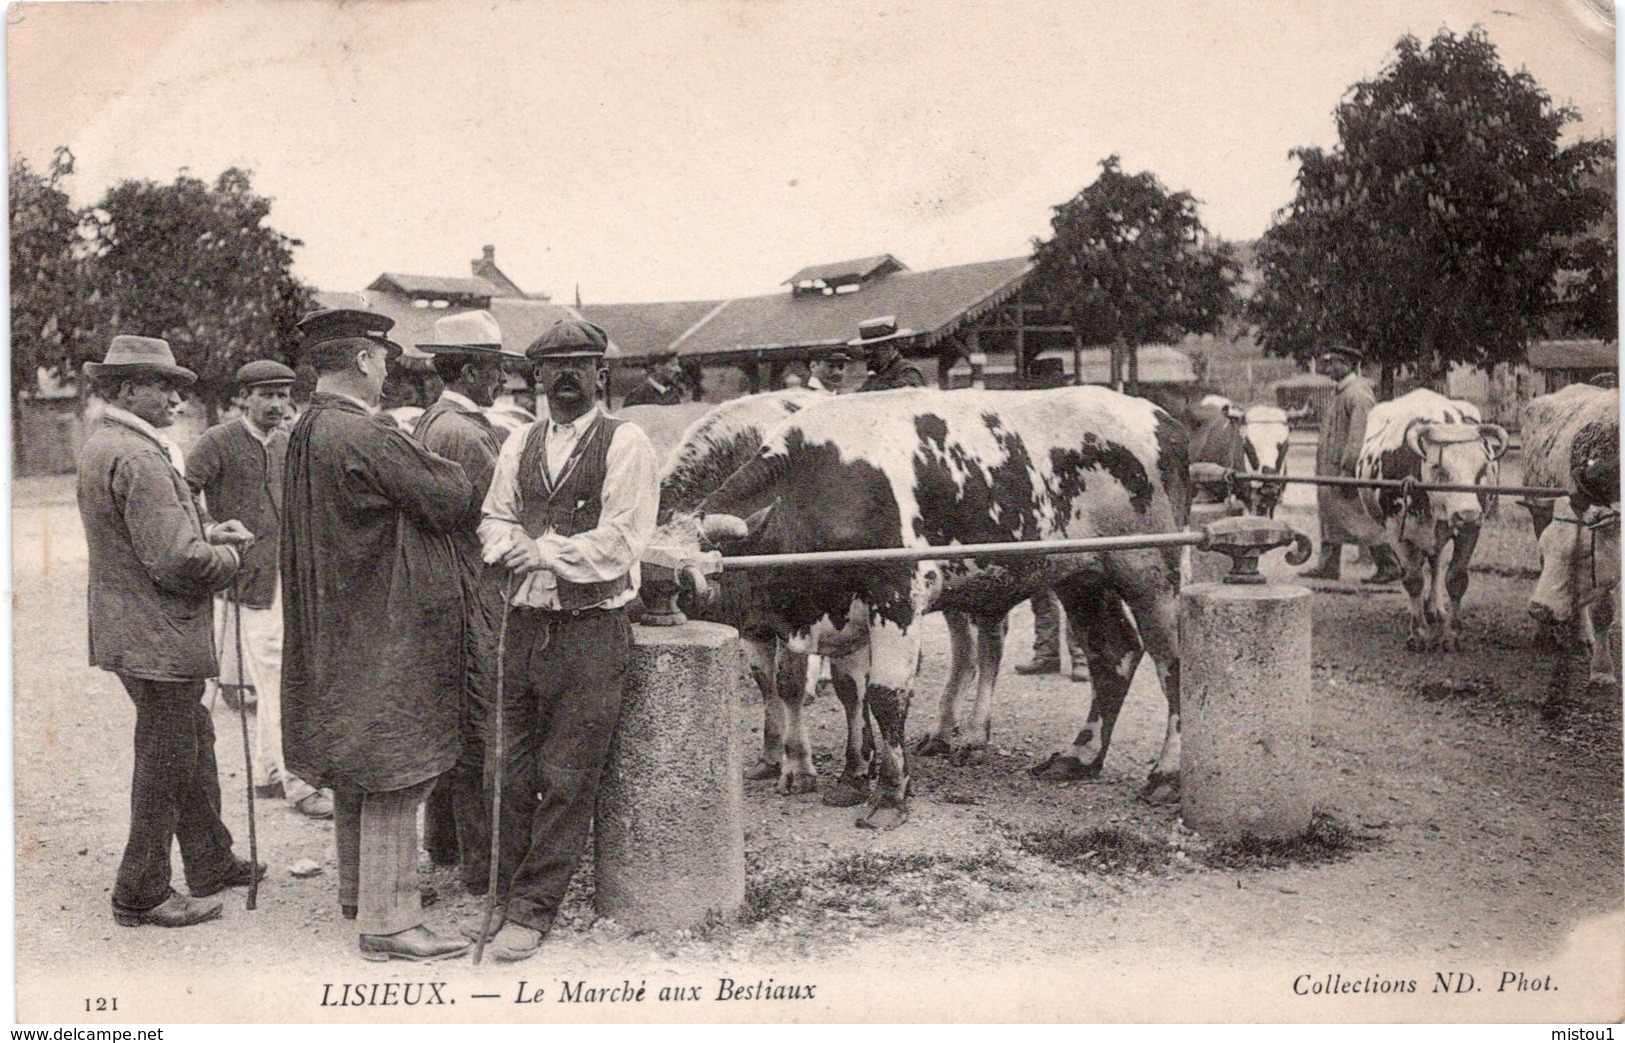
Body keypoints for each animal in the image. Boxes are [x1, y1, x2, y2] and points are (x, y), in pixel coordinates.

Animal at [666, 383, 1189, 828]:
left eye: (691, 572)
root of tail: (1159, 416)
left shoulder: (895, 600)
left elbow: (884, 696)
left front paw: (889, 795)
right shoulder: (836, 615)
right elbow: (847, 690)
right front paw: (852, 778)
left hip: (1153, 575)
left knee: (1172, 666)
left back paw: (1166, 775)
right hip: (1082, 578)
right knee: (1113, 655)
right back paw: (1078, 757)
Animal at [1352, 388, 1501, 649]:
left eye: (1483, 467)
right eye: (1438, 468)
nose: (1468, 515)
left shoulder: (1470, 531)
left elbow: (1456, 578)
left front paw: (1452, 633)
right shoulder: (1396, 530)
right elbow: (1412, 579)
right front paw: (1419, 633)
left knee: (1436, 562)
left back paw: (1435, 608)